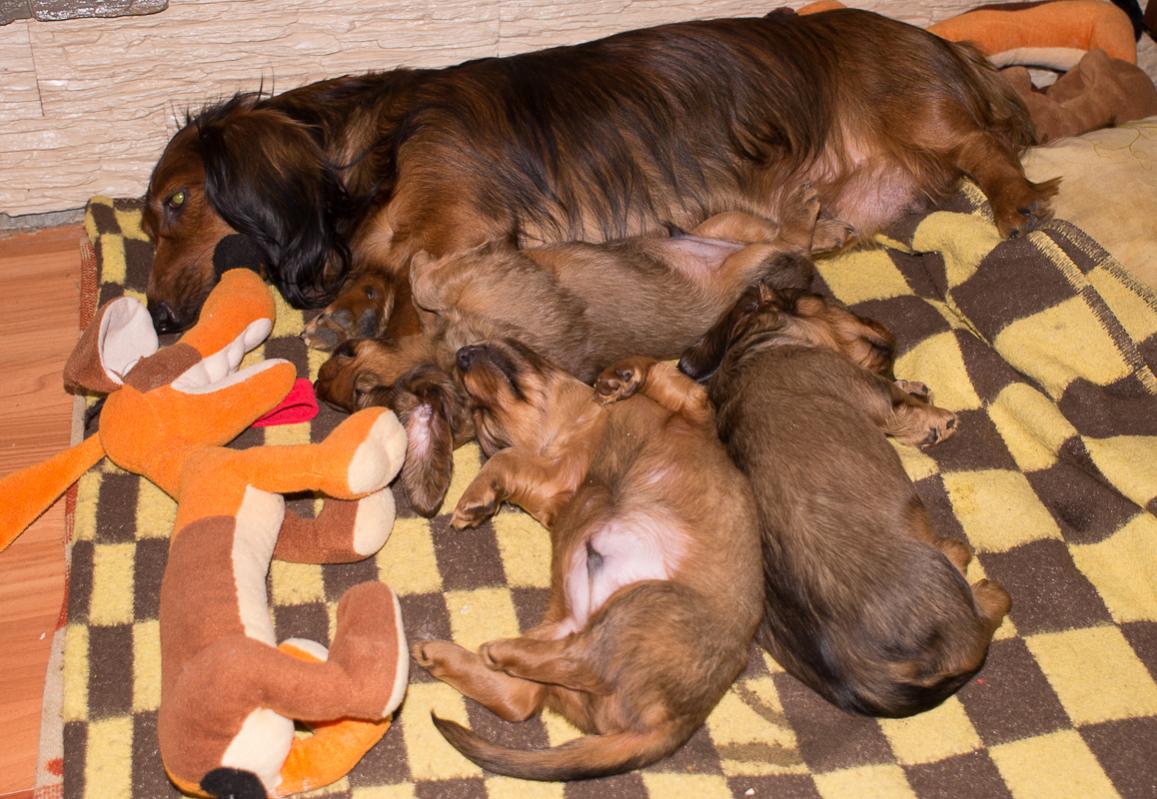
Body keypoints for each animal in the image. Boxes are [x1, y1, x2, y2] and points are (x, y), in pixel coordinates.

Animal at [142, 7, 1057, 343]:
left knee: (985, 147)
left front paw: (368, 310)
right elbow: (379, 263)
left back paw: (1017, 200)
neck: (373, 147)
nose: (153, 318)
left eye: (176, 203)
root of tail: (943, 42)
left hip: (913, 110)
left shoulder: (457, 223)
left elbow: (403, 266)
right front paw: (358, 299)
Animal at [410, 341, 762, 780]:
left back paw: (490, 652)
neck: (573, 427)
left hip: (645, 603)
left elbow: (663, 373)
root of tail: (678, 722)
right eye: (482, 413)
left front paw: (618, 378)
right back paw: (460, 654)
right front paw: (480, 497)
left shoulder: (692, 409)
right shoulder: (552, 484)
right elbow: (508, 459)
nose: (462, 352)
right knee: (539, 686)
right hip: (584, 620)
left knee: (560, 676)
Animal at [678, 282, 1011, 717]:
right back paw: (978, 577)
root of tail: (870, 682)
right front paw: (937, 419)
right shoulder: (868, 389)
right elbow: (901, 402)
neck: (760, 343)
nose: (879, 323)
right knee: (983, 619)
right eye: (827, 298)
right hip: (946, 584)